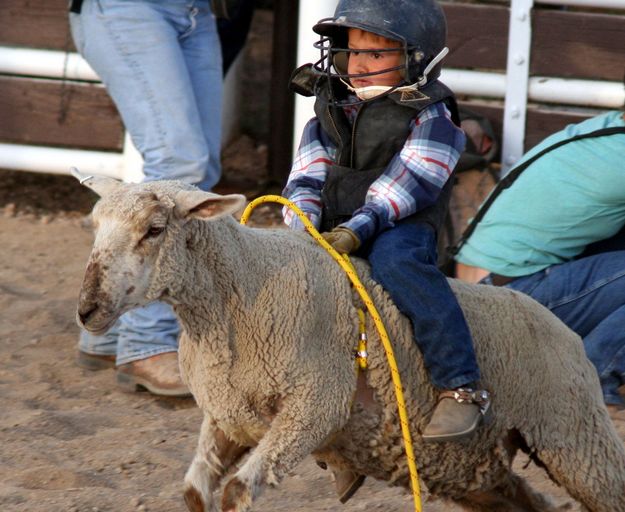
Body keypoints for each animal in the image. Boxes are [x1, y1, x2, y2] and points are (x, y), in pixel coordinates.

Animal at [73, 173, 624, 512]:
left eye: (154, 229)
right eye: (95, 225)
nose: (86, 309)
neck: (241, 292)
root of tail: (562, 327)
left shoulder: (314, 407)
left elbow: (236, 492)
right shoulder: (229, 419)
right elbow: (193, 493)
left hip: (576, 438)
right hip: (477, 469)